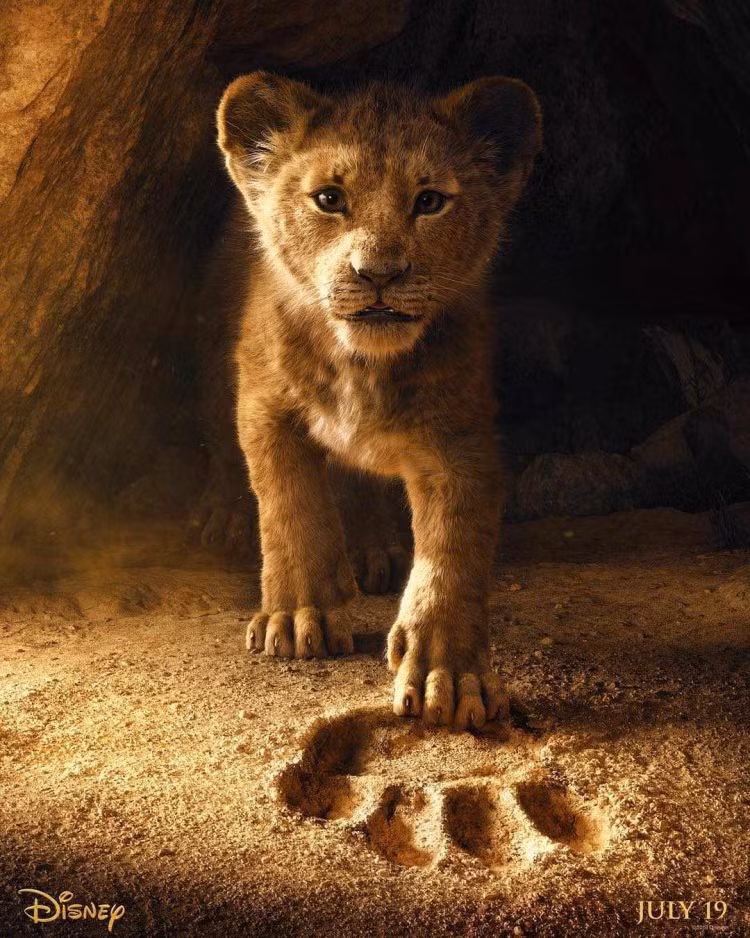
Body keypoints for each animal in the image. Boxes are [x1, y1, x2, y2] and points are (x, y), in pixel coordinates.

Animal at [214, 71, 542, 729]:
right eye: (329, 198)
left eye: (430, 201)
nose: (379, 274)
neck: (361, 364)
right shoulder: (264, 406)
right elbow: (291, 508)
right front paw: (298, 616)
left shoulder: (460, 438)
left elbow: (453, 551)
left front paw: (450, 674)